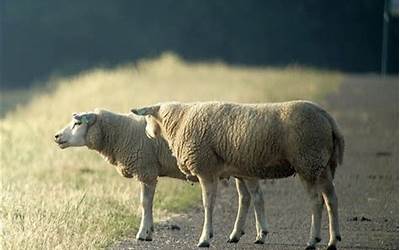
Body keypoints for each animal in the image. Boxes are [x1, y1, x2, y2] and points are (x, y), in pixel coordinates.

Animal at [51, 109, 268, 244]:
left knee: (257, 196)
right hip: (239, 169)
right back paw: (235, 235)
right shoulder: (148, 171)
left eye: (77, 122)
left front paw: (143, 233)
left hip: (245, 168)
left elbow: (145, 202)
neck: (120, 133)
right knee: (245, 197)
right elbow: (148, 202)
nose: (56, 136)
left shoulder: (146, 170)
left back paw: (261, 235)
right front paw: (149, 231)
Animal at [131, 100, 344, 250]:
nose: (148, 134)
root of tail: (328, 118)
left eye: (147, 119)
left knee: (316, 201)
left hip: (307, 160)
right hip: (322, 164)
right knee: (331, 198)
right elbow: (244, 199)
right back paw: (332, 241)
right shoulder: (237, 171)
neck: (179, 121)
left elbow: (208, 204)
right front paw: (236, 235)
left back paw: (312, 240)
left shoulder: (206, 169)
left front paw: (205, 238)